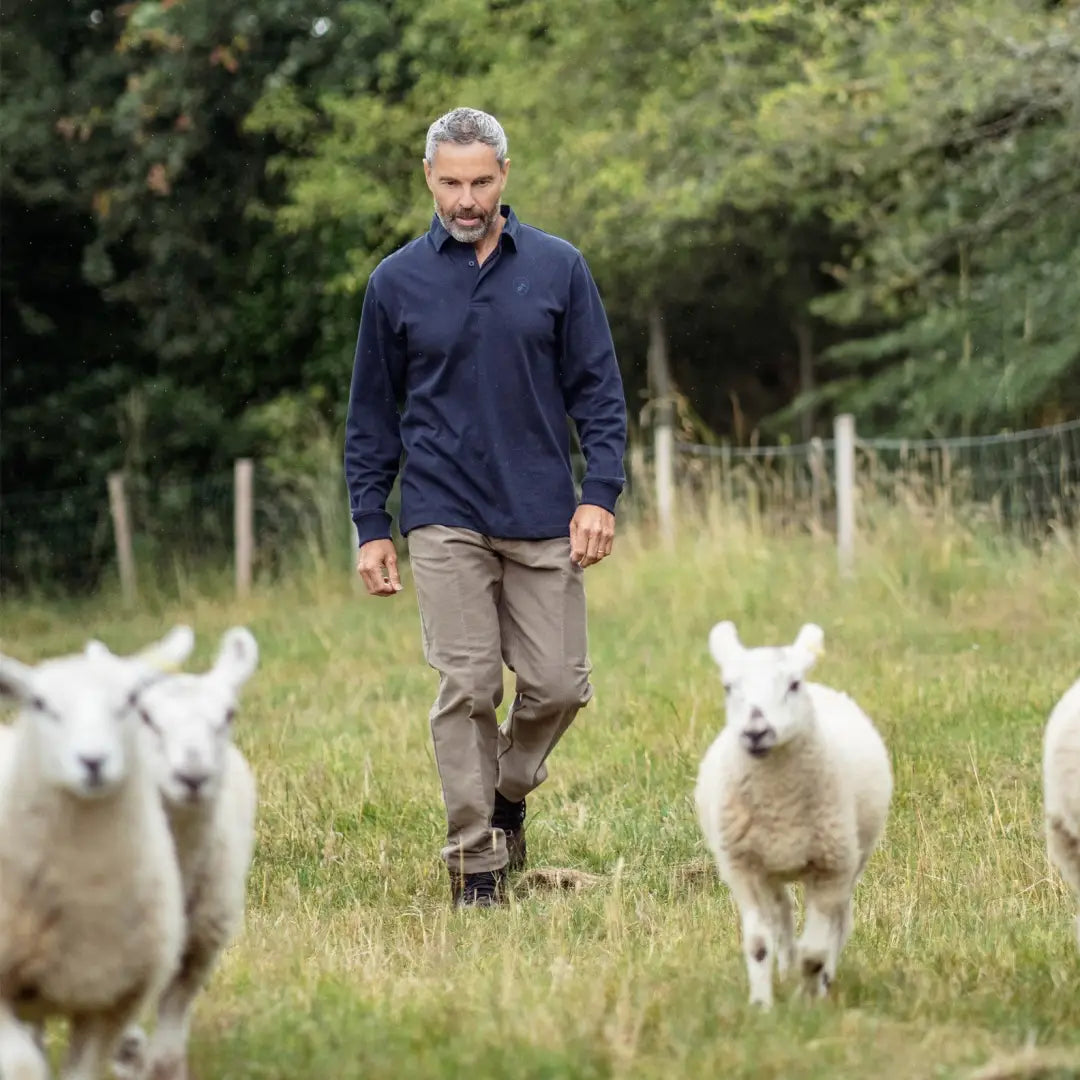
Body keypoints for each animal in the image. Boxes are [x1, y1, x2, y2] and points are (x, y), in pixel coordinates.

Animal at [104, 626, 261, 1080]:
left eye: (228, 715)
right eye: (146, 717)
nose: (192, 776)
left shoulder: (199, 945)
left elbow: (168, 1046)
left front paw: (152, 1062)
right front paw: (128, 1051)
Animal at [691, 622, 894, 1006]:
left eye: (794, 684)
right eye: (729, 687)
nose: (756, 732)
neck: (779, 808)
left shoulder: (830, 868)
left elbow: (814, 952)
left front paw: (807, 1001)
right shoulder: (744, 869)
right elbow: (758, 944)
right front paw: (762, 1006)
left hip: (852, 858)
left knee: (839, 924)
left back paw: (822, 978)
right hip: (771, 868)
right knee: (781, 916)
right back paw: (785, 969)